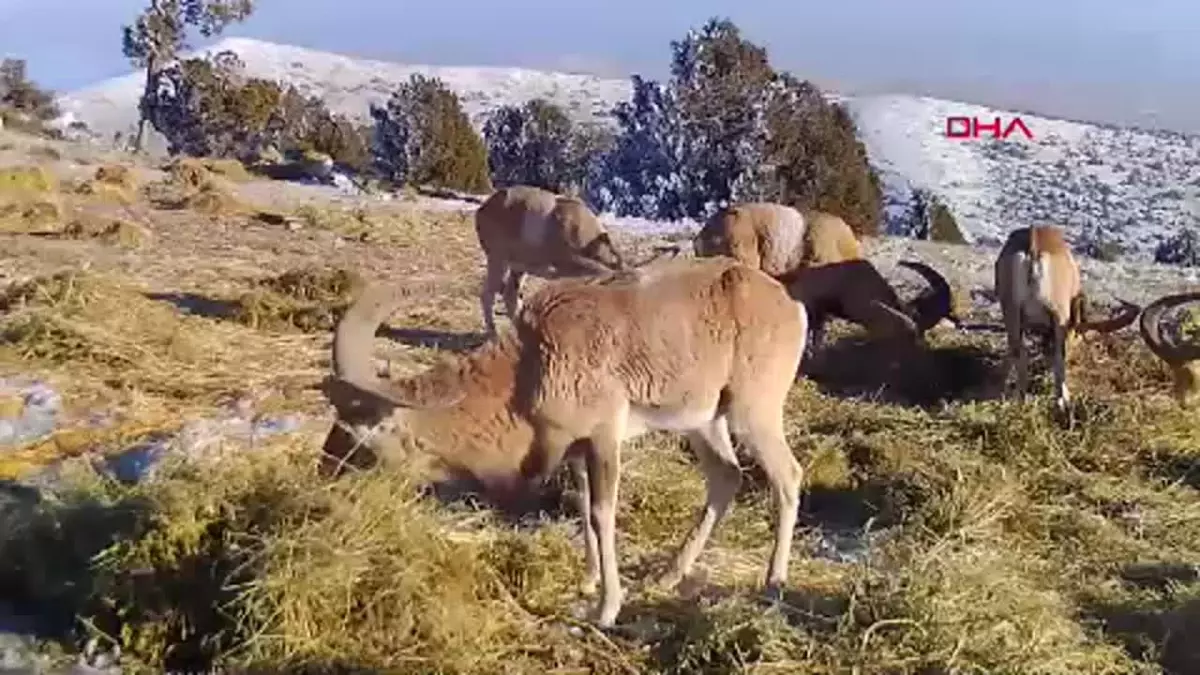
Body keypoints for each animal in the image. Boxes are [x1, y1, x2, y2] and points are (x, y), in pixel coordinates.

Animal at [316, 255, 806, 624]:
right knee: (726, 477)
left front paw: (606, 610)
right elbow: (584, 508)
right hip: (704, 422)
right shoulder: (576, 451)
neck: (529, 364)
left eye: (358, 444)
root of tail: (790, 306)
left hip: (753, 414)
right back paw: (669, 576)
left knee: (788, 476)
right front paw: (589, 582)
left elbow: (602, 513)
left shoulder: (604, 437)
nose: (326, 486)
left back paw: (774, 582)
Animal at [475, 184, 667, 333]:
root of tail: (483, 210)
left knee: (510, 296)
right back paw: (493, 334)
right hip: (498, 260)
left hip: (519, 268)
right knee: (488, 295)